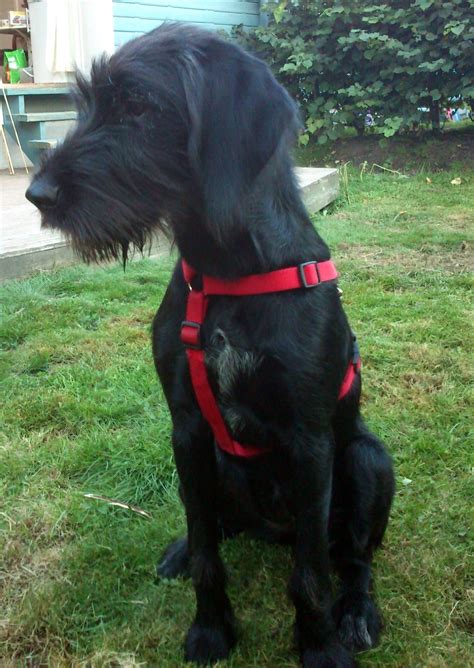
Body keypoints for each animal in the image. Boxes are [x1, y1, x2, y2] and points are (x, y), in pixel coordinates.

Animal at [26, 23, 396, 664]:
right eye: (88, 104)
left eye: (138, 105)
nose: (37, 194)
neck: (227, 271)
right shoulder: (188, 428)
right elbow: (207, 554)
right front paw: (211, 628)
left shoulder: (311, 442)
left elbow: (311, 573)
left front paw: (319, 645)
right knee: (214, 527)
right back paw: (180, 549)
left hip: (367, 459)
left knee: (351, 558)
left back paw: (355, 611)